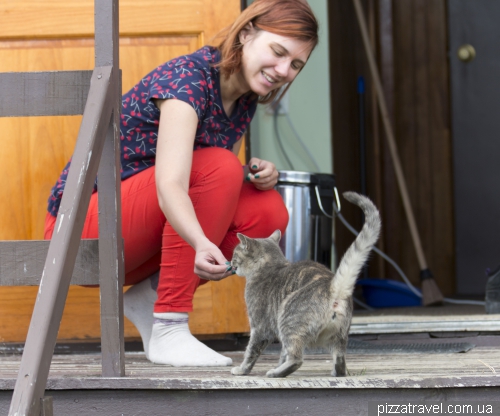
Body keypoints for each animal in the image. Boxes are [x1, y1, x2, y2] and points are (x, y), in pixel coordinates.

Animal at [232, 191, 380, 376]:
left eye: (234, 254)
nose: (230, 262)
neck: (271, 264)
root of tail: (333, 287)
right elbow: (282, 353)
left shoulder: (260, 328)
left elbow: (251, 352)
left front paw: (242, 369)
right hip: (338, 337)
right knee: (339, 361)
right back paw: (335, 372)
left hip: (288, 322)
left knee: (297, 359)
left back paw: (276, 373)